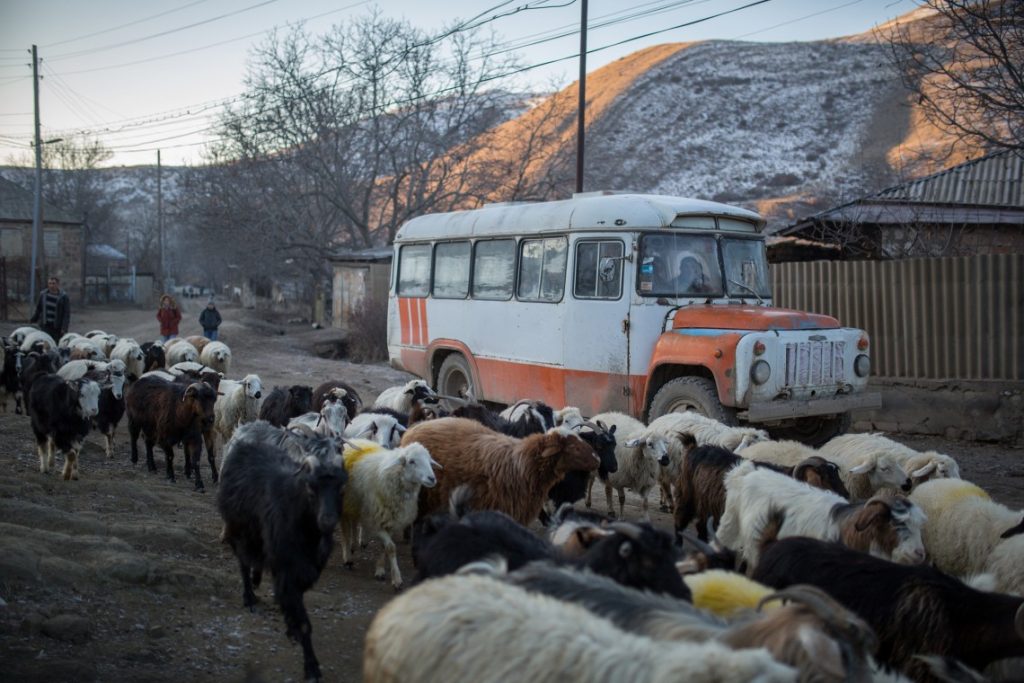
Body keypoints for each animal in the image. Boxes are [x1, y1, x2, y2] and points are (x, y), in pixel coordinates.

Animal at [217, 423, 348, 679]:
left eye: (341, 489)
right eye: (311, 487)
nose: (328, 521)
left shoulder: (304, 568)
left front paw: (291, 627)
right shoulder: (287, 568)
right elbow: (303, 620)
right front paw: (311, 667)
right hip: (238, 528)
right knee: (243, 561)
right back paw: (249, 597)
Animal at [339, 440, 440, 589]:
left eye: (429, 460)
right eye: (411, 461)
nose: (432, 478)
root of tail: (355, 440)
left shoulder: (391, 521)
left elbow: (385, 547)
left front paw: (380, 570)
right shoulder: (376, 522)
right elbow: (391, 548)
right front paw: (396, 579)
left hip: (355, 504)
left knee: (354, 522)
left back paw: (356, 544)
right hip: (344, 504)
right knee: (345, 531)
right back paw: (348, 557)